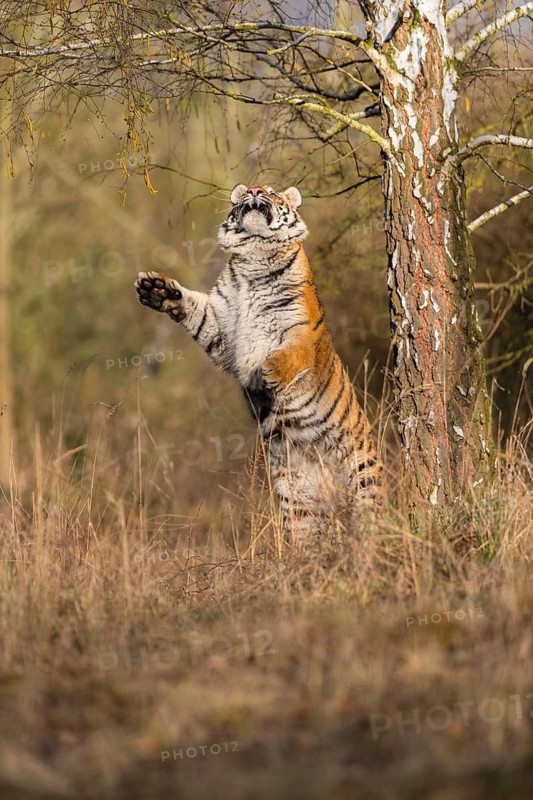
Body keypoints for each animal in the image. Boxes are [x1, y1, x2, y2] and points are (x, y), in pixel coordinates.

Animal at [135, 183, 382, 544]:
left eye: (271, 191)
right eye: (244, 193)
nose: (251, 190)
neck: (254, 260)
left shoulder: (299, 329)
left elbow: (289, 354)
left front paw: (266, 372)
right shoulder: (222, 328)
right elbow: (196, 310)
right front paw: (157, 291)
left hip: (364, 479)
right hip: (298, 502)